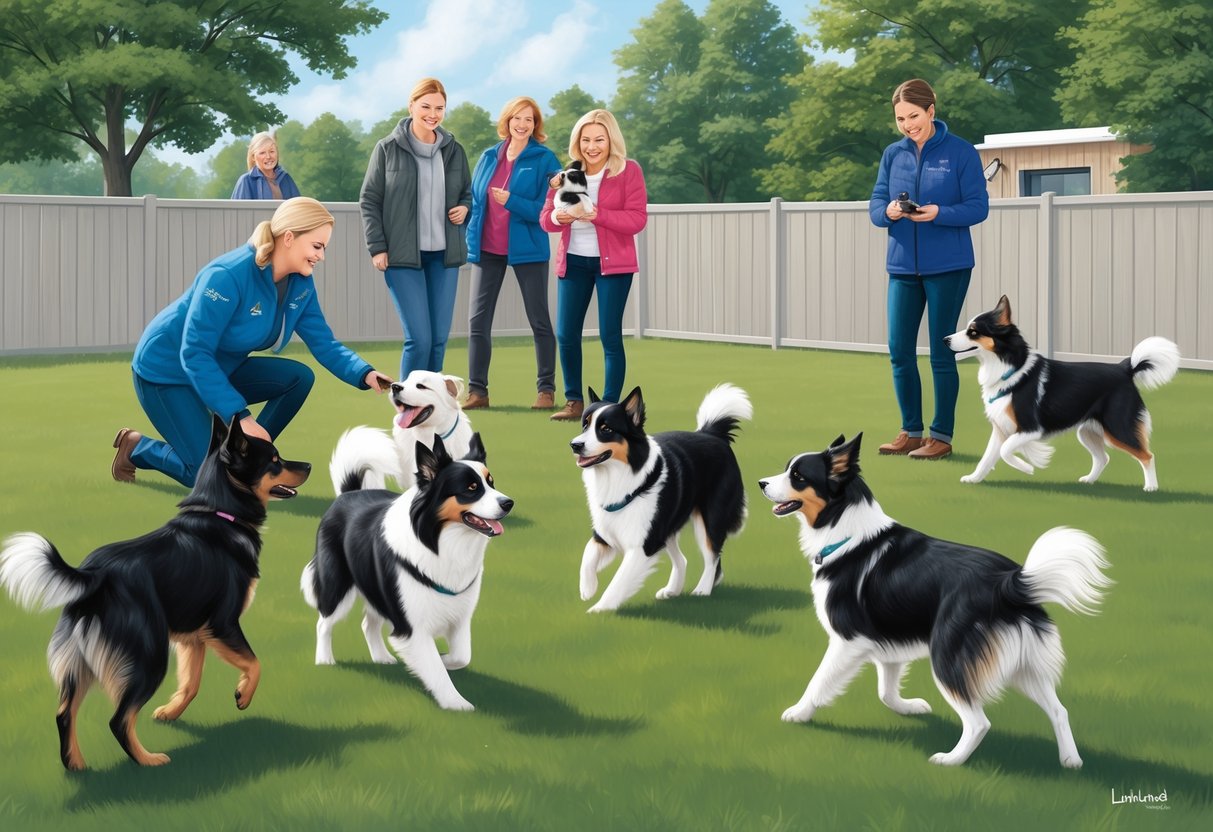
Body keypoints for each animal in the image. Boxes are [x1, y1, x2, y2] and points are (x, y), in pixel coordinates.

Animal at [0, 417, 308, 776]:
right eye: (274, 461)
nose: (308, 466)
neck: (219, 512)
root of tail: (93, 575)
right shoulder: (222, 624)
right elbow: (254, 662)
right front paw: (243, 695)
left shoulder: (194, 636)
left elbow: (191, 682)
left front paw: (170, 712)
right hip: (149, 655)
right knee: (118, 719)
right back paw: (148, 760)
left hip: (81, 660)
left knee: (64, 712)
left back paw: (75, 763)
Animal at [305, 434, 514, 713]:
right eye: (471, 488)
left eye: (491, 483)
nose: (509, 503)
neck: (441, 541)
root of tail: (349, 493)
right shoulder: (412, 626)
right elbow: (435, 669)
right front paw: (455, 703)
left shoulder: (459, 615)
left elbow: (462, 655)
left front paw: (446, 659)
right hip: (338, 586)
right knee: (324, 623)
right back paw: (324, 660)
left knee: (368, 624)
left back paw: (381, 657)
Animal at [567, 385, 747, 613]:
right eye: (585, 425)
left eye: (606, 429)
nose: (574, 445)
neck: (619, 476)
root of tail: (711, 434)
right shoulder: (606, 533)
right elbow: (587, 555)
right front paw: (588, 588)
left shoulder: (643, 545)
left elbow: (619, 580)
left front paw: (599, 609)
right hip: (667, 526)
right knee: (683, 559)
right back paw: (672, 590)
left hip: (710, 518)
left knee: (712, 556)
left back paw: (702, 590)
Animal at [761, 436, 1111, 771]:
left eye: (798, 476)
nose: (761, 483)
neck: (844, 529)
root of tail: (1011, 582)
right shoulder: (886, 641)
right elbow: (886, 691)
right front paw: (909, 707)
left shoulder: (847, 641)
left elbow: (819, 681)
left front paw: (799, 712)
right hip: (1024, 665)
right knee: (1059, 710)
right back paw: (1071, 762)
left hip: (948, 657)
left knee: (979, 722)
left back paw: (951, 760)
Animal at [941, 294, 1179, 489]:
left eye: (973, 332)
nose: (944, 339)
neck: (1010, 367)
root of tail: (1124, 368)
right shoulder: (1001, 427)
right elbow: (988, 456)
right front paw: (974, 478)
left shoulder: (1030, 428)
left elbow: (1004, 450)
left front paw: (1027, 467)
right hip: (1088, 431)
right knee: (1103, 458)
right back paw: (1089, 480)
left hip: (1118, 427)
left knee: (1147, 455)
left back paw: (1151, 488)